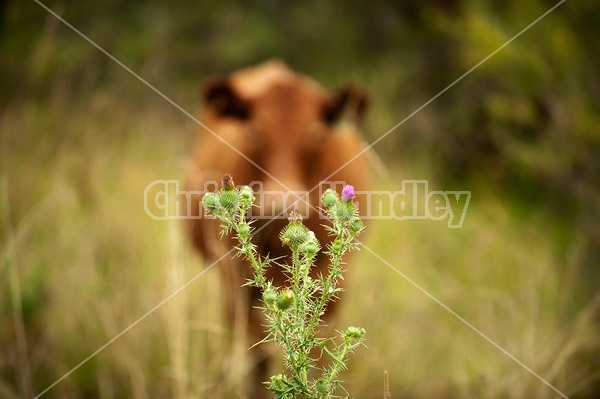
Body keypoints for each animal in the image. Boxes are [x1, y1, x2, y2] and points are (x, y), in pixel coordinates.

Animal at [185, 60, 370, 399]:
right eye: (253, 131)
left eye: (316, 134)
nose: (280, 206)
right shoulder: (236, 275)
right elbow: (258, 351)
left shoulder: (334, 278)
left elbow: (314, 348)